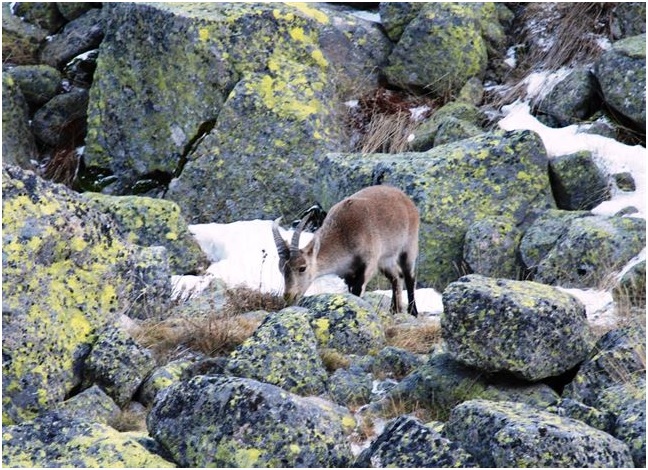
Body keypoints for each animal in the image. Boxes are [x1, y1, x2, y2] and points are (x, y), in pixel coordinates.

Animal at [272, 185, 419, 316]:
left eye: (302, 268)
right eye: (281, 269)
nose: (288, 296)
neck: (343, 236)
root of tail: (406, 199)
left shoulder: (369, 263)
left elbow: (357, 291)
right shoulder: (347, 272)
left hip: (408, 247)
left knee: (409, 276)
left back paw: (413, 311)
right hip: (385, 260)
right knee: (396, 277)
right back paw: (394, 310)